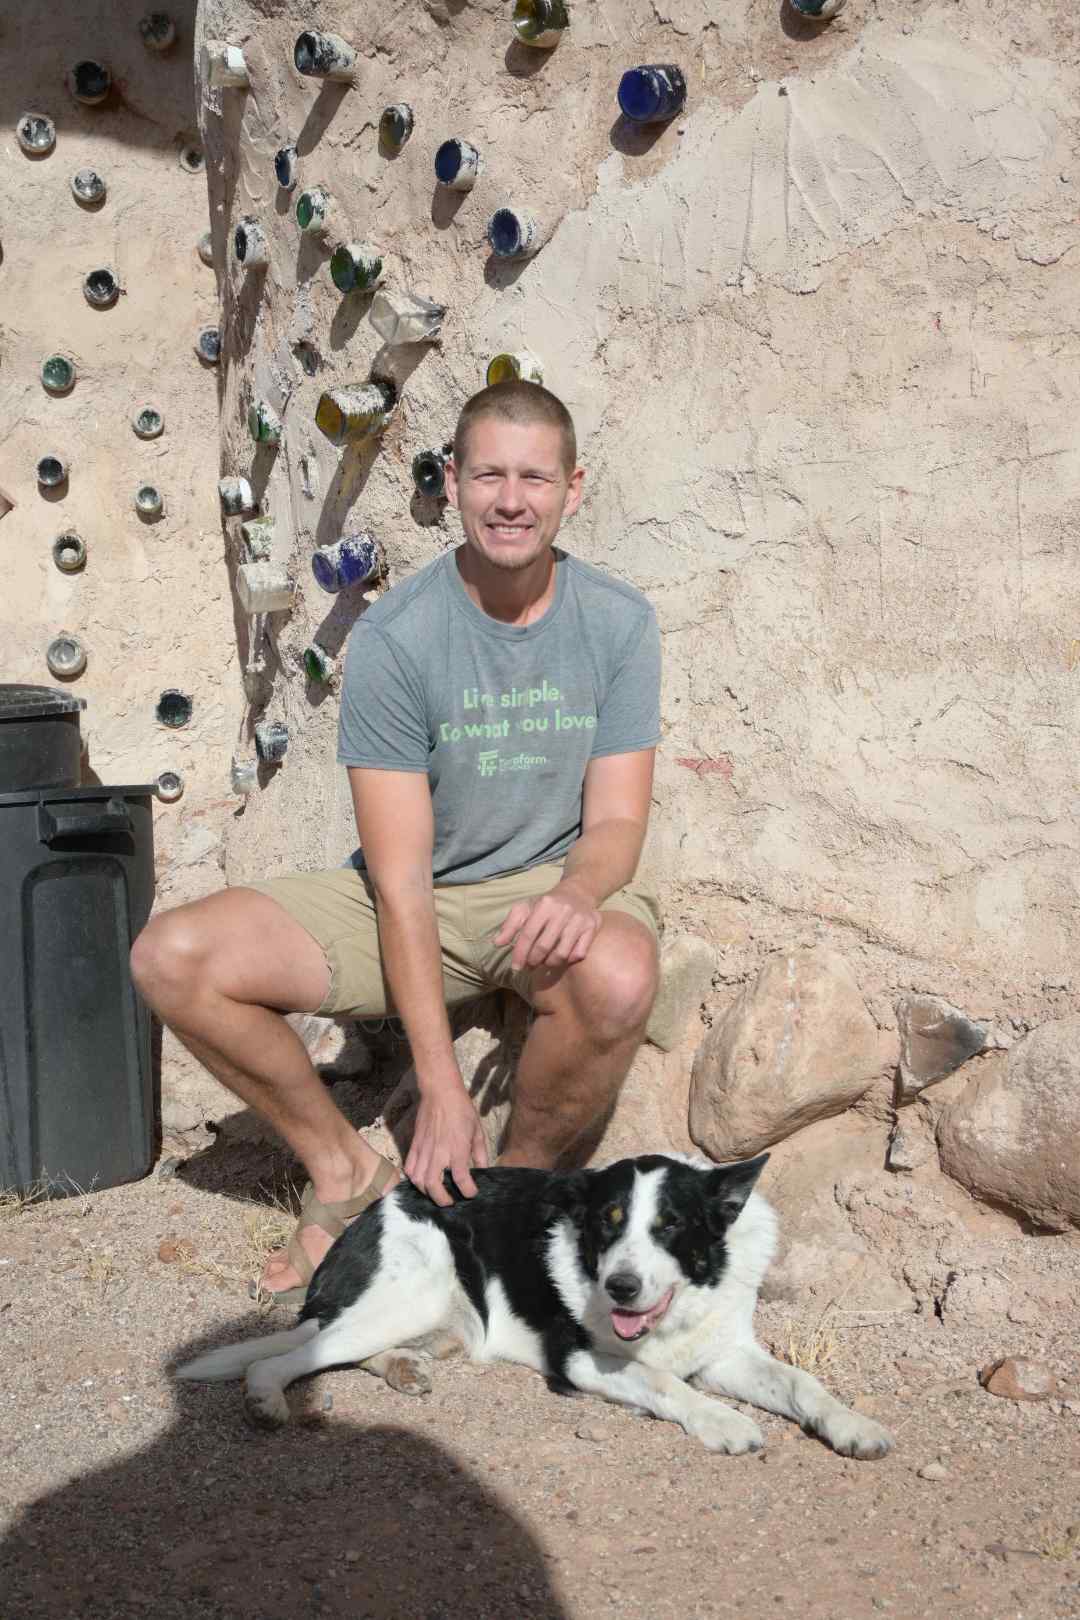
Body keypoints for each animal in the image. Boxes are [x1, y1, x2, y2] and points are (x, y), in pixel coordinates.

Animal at [177, 1153, 893, 1458]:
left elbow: (802, 1382)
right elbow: (665, 1382)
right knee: (290, 1355)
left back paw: (406, 1367)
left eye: (670, 1226)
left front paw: (852, 1425)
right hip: (412, 1288)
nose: (620, 1288)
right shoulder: (579, 1359)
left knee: (349, 1348)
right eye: (606, 1222)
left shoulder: (727, 1353)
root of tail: (371, 1213)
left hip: (434, 1318)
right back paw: (267, 1398)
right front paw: (721, 1422)